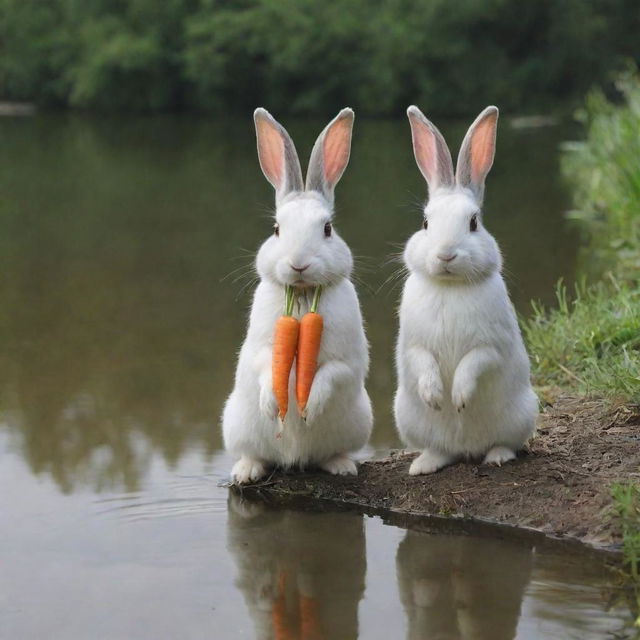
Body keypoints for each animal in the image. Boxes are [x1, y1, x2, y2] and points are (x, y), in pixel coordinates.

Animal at [224, 107, 372, 482]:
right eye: (277, 229)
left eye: (327, 229)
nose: (299, 264)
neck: (304, 296)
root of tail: (294, 460)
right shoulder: (262, 345)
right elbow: (265, 363)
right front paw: (272, 403)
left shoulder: (345, 359)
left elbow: (332, 373)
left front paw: (310, 407)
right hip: (235, 425)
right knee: (253, 453)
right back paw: (247, 471)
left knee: (330, 453)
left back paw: (342, 466)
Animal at [396, 105, 536, 476]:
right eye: (425, 223)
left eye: (473, 222)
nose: (446, 255)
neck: (450, 286)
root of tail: (466, 450)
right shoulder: (414, 344)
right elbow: (422, 360)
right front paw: (435, 396)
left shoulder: (491, 344)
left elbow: (474, 363)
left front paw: (457, 399)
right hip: (409, 419)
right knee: (441, 450)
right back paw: (424, 465)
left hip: (522, 415)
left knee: (505, 443)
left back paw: (497, 456)